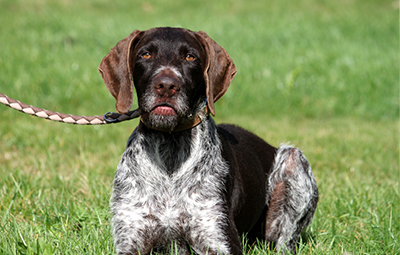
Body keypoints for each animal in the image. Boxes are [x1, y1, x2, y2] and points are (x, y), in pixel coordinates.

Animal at [97, 26, 318, 254]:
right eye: (146, 54)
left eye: (190, 56)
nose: (166, 86)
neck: (171, 149)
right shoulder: (130, 241)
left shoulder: (219, 240)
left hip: (293, 160)